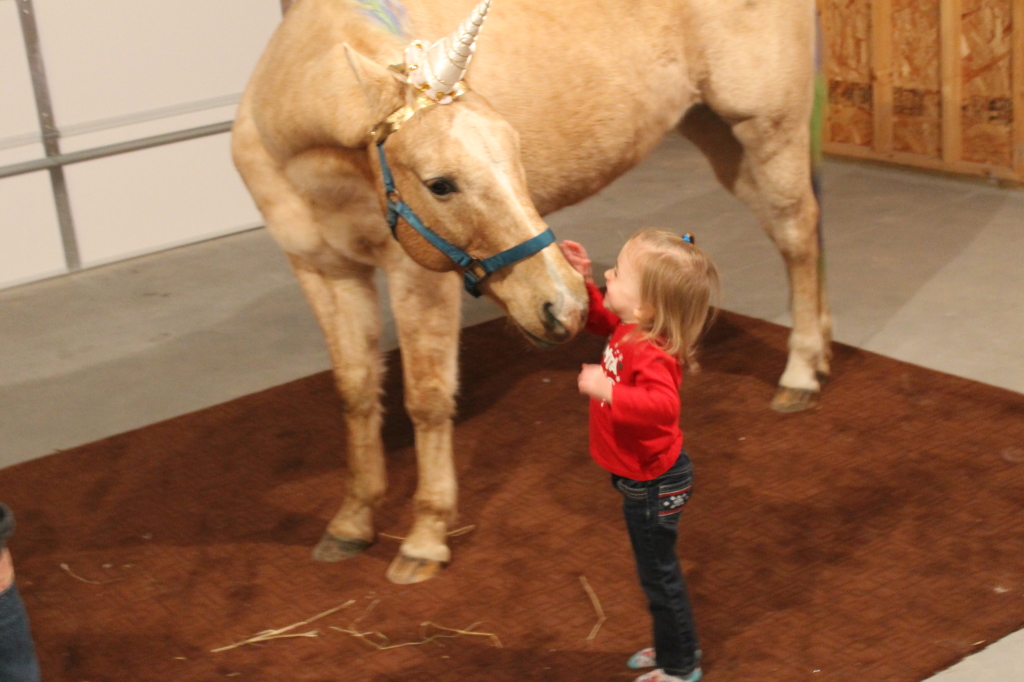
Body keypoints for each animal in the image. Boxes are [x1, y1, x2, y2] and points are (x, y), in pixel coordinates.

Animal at [234, 1, 831, 585]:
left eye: (517, 150)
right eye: (439, 184)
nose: (566, 305)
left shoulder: (418, 276)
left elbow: (427, 399)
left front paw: (425, 538)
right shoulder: (323, 271)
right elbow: (355, 393)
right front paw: (352, 522)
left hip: (766, 129)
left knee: (798, 233)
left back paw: (801, 372)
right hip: (718, 134)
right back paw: (822, 351)